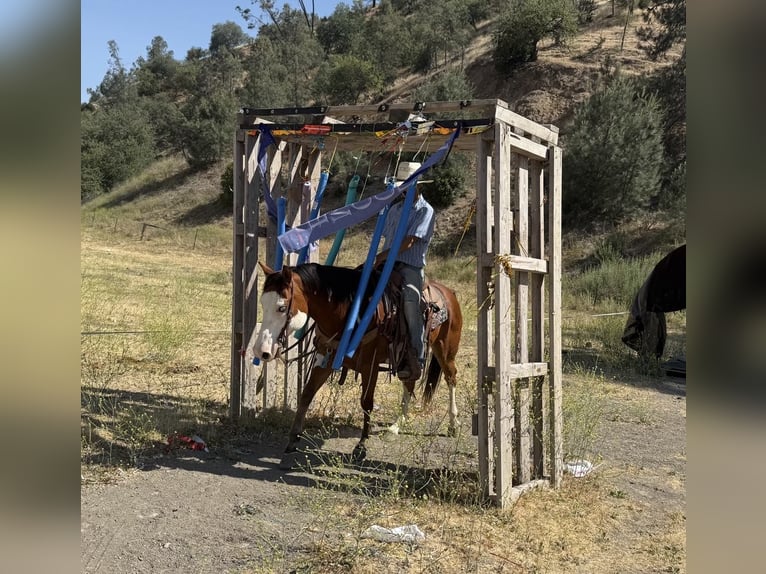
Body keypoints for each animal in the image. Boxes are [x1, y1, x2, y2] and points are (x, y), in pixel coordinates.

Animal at [253, 261, 463, 468]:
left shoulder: (370, 366)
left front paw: (361, 446)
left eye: (281, 308)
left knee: (451, 377)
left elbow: (366, 403)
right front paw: (292, 440)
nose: (260, 351)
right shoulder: (326, 358)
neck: (350, 315)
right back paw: (396, 425)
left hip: (445, 350)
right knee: (409, 383)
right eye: (262, 303)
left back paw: (453, 423)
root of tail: (449, 292)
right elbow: (306, 394)